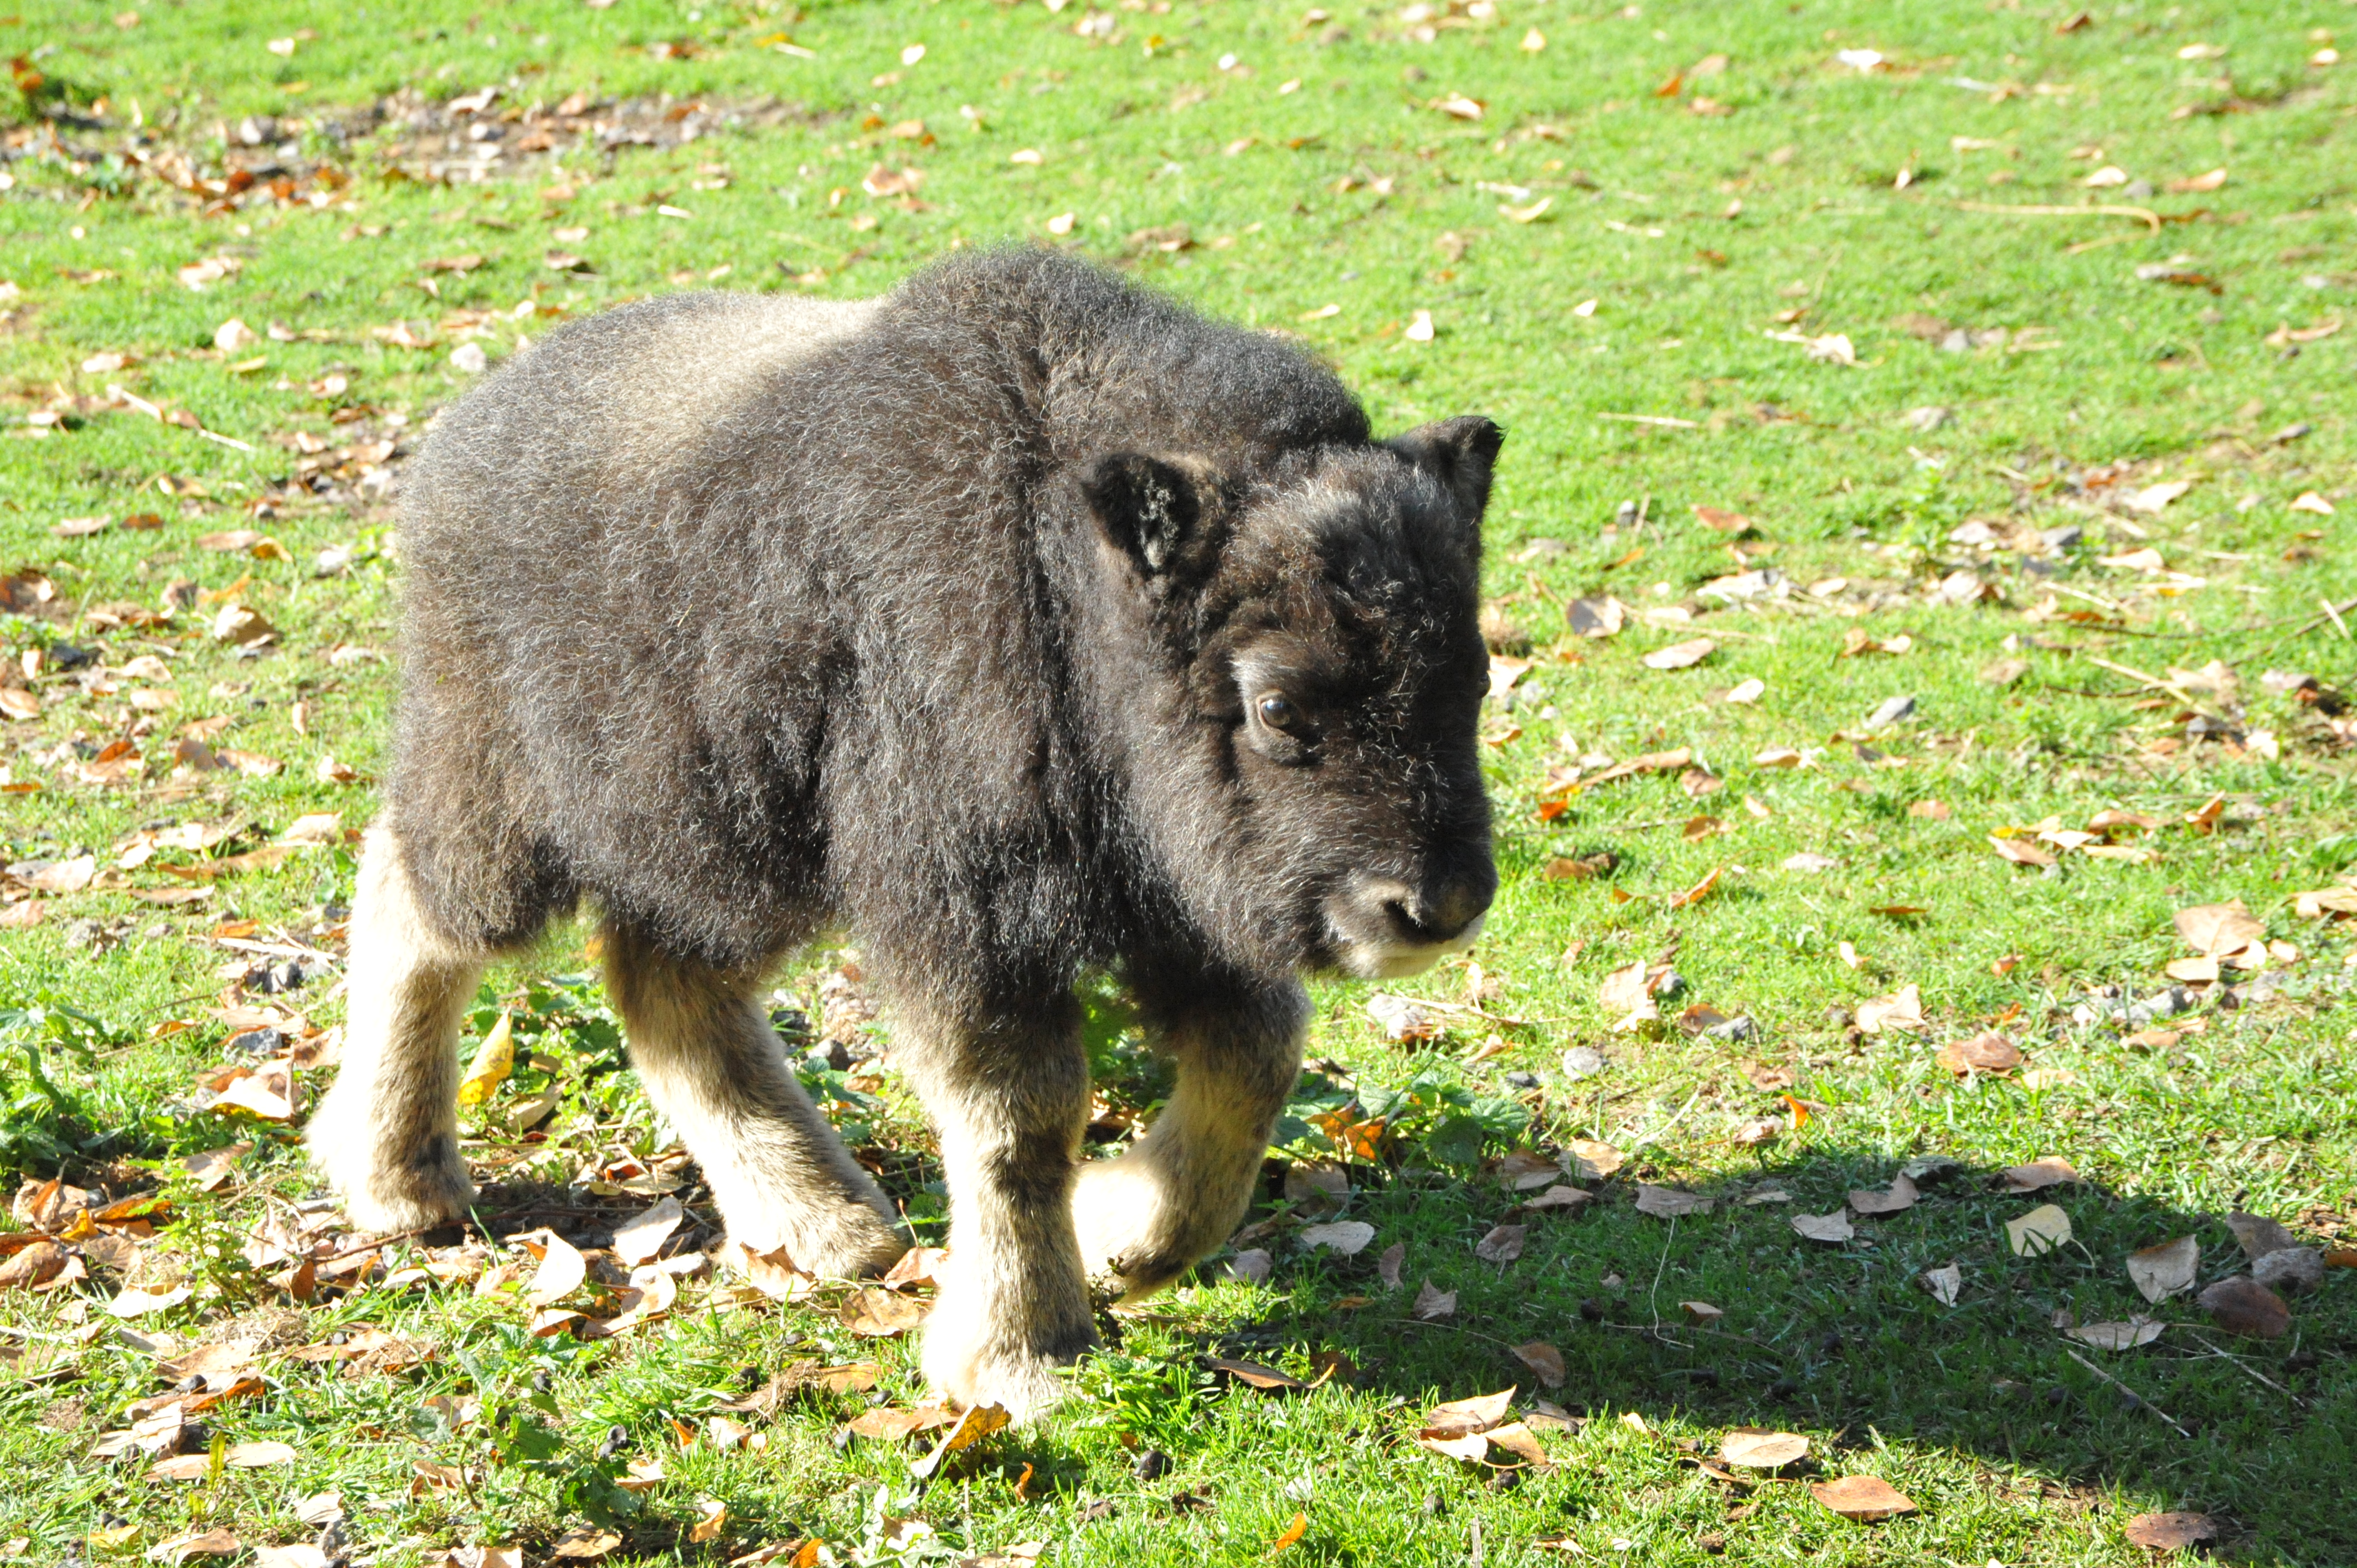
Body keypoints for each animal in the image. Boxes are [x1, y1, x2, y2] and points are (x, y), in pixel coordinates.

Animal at [313, 251, 1499, 1415]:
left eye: (1475, 677)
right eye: (1280, 707)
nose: (1434, 908)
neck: (1059, 583)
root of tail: (463, 431)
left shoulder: (1177, 897)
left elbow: (1254, 1060)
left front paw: (1121, 1236)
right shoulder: (965, 907)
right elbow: (1020, 1119)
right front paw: (1025, 1356)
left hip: (727, 844)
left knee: (664, 985)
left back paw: (821, 1226)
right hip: (508, 791)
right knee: (415, 908)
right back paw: (399, 1182)